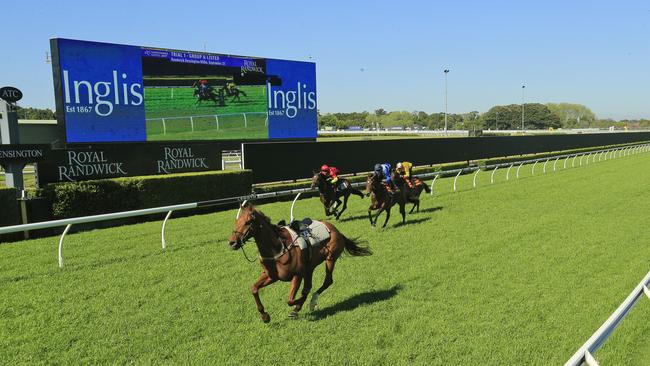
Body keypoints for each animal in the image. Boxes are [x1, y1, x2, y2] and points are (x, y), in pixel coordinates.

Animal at [228, 203, 370, 324]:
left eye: (248, 222)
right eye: (236, 222)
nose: (232, 242)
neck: (278, 247)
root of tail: (335, 230)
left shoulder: (297, 275)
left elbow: (290, 300)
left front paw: (301, 303)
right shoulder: (272, 276)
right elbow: (254, 289)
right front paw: (264, 316)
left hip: (330, 259)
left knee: (327, 281)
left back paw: (311, 301)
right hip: (310, 267)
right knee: (308, 286)